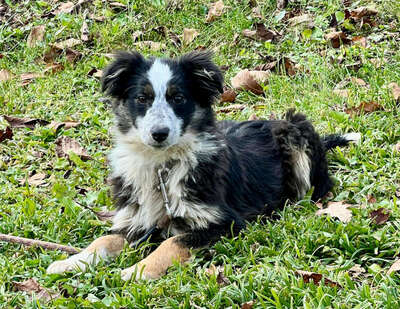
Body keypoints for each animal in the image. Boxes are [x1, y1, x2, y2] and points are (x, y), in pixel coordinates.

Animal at [47, 51, 360, 280]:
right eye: (142, 98)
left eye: (178, 98)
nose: (159, 134)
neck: (163, 166)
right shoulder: (135, 220)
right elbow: (103, 240)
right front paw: (70, 262)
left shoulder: (224, 222)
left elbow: (172, 243)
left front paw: (138, 270)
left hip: (296, 132)